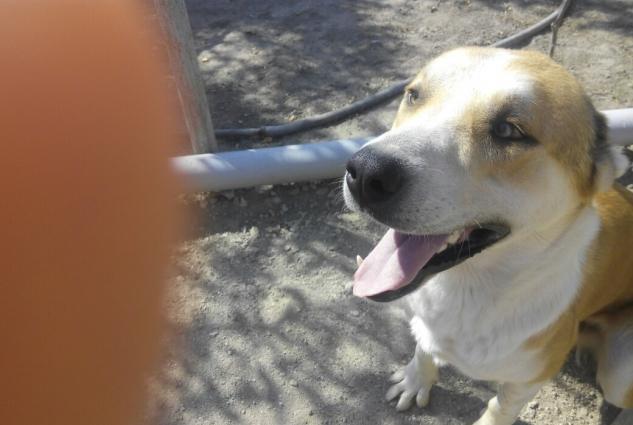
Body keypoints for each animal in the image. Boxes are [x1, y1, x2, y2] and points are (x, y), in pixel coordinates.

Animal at [343, 47, 633, 425]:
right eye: (414, 95)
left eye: (509, 130)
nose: (365, 174)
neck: (469, 290)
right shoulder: (425, 324)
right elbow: (423, 350)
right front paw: (416, 379)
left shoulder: (530, 378)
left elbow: (498, 407)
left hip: (620, 373)